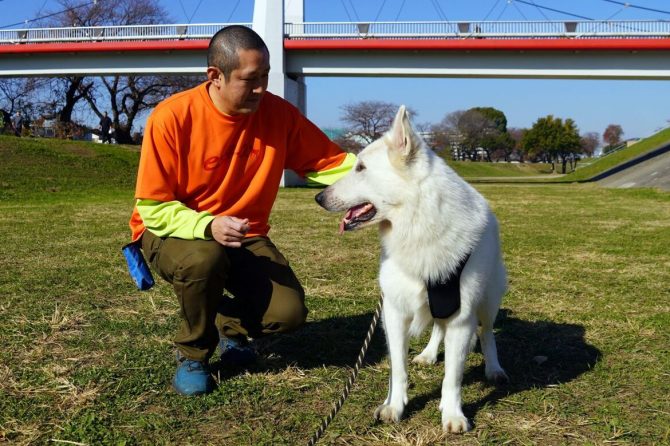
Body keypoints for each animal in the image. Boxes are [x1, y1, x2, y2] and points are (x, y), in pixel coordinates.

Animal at [316, 104, 510, 432]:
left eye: (361, 168)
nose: (318, 197)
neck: (418, 224)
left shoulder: (461, 319)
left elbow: (453, 377)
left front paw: (452, 413)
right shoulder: (394, 313)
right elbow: (398, 369)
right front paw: (394, 406)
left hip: (487, 301)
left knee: (486, 335)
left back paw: (494, 368)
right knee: (437, 330)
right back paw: (429, 354)